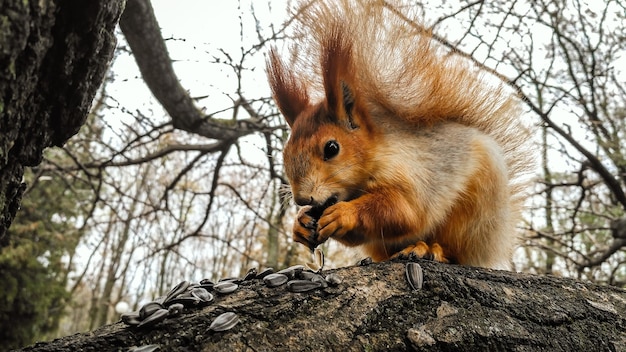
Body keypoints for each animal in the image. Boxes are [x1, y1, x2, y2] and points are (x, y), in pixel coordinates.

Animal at [266, 0, 532, 270]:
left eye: (332, 148)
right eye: (285, 153)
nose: (301, 199)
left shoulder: (415, 174)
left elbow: (404, 211)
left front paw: (344, 213)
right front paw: (299, 223)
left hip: (473, 215)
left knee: (456, 251)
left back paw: (429, 249)